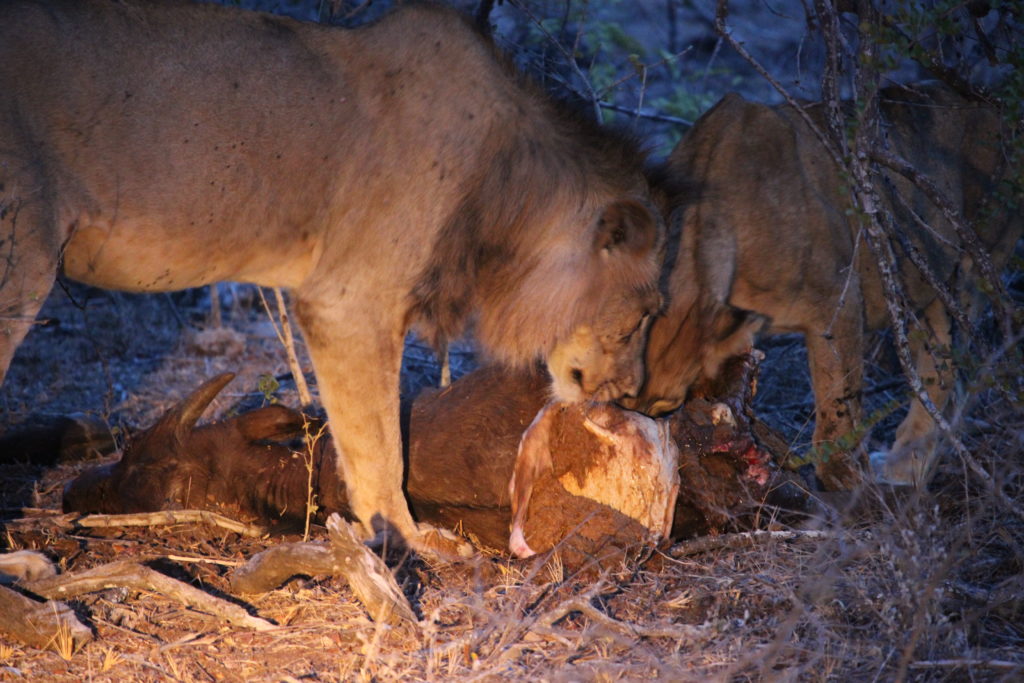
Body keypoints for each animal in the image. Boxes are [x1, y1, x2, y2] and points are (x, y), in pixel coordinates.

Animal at [0, 1, 663, 557]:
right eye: (643, 315)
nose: (639, 398)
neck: (506, 195)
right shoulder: (349, 301)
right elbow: (377, 447)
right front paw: (409, 541)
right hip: (21, 256)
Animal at [622, 83, 1015, 491]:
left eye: (667, 408)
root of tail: (990, 100)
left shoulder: (838, 301)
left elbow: (838, 404)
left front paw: (847, 481)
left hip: (966, 271)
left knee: (944, 375)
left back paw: (904, 469)